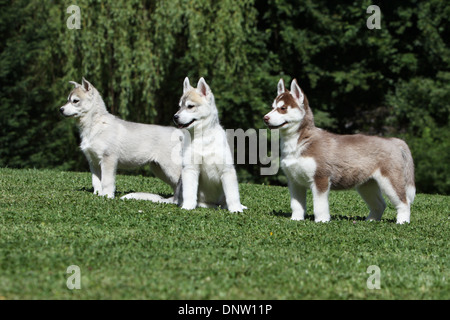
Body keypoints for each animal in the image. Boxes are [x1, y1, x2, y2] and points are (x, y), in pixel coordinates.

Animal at [173, 77, 246, 212]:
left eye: (190, 106)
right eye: (180, 106)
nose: (175, 117)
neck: (204, 138)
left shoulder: (227, 170)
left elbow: (233, 195)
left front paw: (236, 209)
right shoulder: (190, 169)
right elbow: (189, 192)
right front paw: (187, 207)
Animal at [264, 79, 414, 224]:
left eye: (283, 108)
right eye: (272, 107)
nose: (265, 118)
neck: (300, 141)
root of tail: (394, 141)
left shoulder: (321, 178)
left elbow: (319, 205)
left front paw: (322, 221)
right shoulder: (294, 181)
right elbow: (296, 204)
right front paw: (295, 219)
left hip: (390, 181)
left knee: (404, 202)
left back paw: (402, 222)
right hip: (366, 184)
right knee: (380, 204)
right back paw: (371, 221)